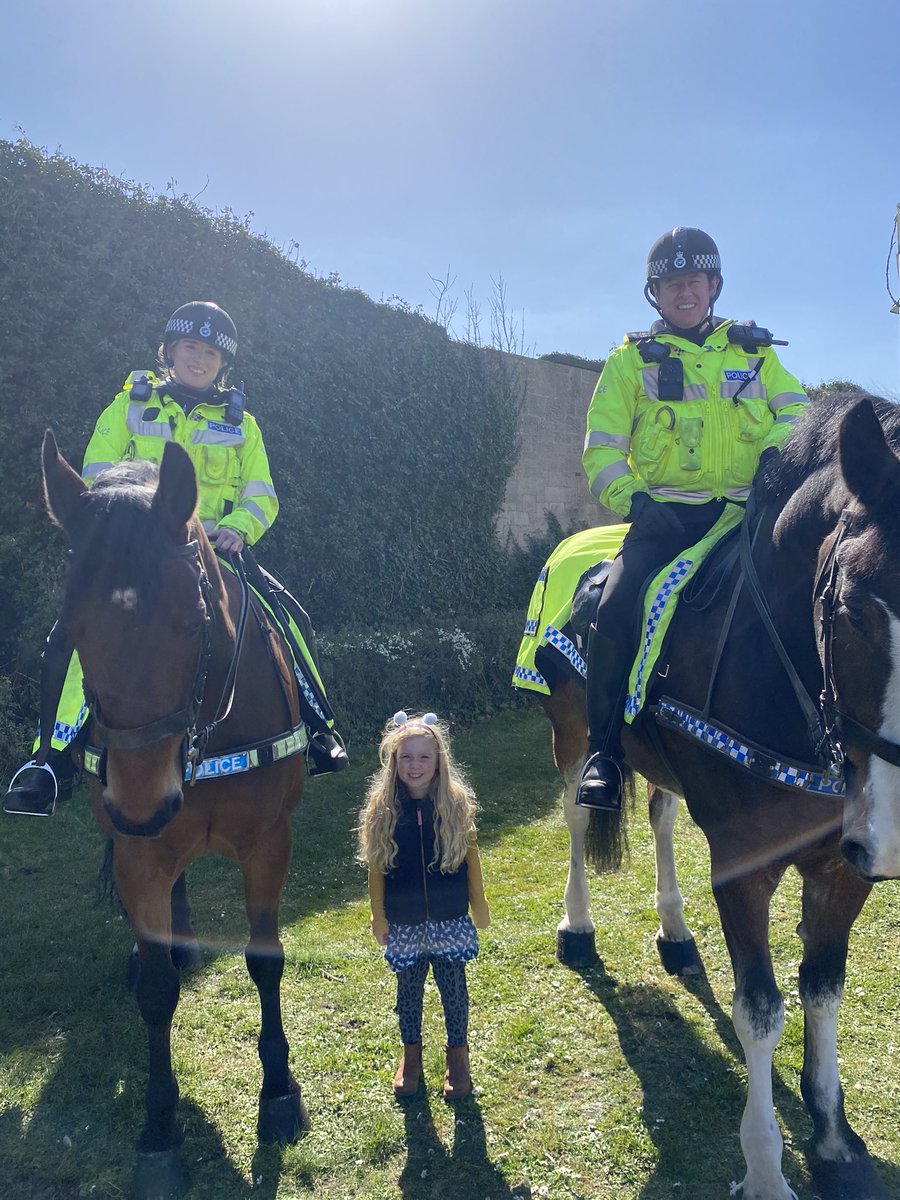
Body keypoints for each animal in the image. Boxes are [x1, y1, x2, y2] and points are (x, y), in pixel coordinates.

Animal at [42, 434, 309, 1200]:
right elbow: (158, 991)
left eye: (191, 624)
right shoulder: (140, 856)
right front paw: (159, 1129)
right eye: (72, 633)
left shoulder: (268, 844)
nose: (141, 802)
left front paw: (278, 1093)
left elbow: (265, 960)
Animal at [535, 396, 900, 1200]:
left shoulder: (842, 867)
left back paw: (675, 933)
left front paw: (834, 1138)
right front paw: (764, 1168)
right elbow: (760, 1012)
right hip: (570, 730)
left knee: (663, 818)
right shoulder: (743, 865)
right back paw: (578, 927)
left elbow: (822, 989)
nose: (894, 833)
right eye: (857, 613)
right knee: (577, 814)